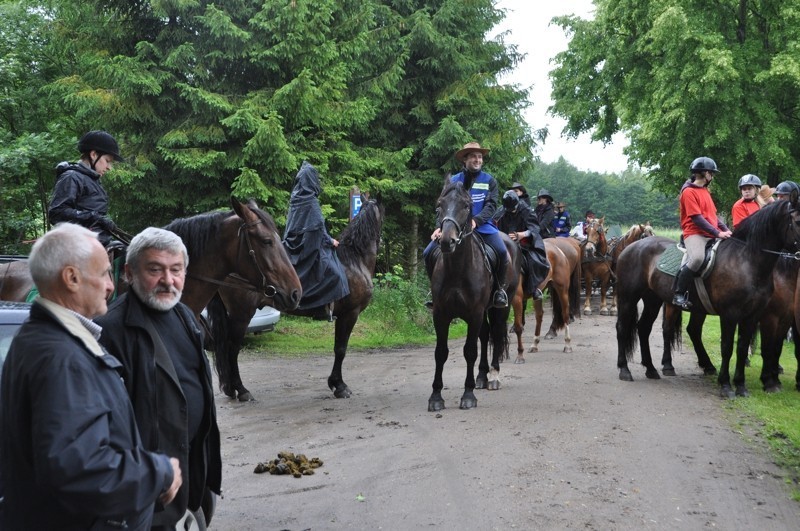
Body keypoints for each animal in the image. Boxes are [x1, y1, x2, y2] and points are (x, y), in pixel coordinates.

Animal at [208, 201, 386, 404]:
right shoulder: (350, 314)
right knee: (232, 349)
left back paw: (231, 388)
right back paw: (241, 389)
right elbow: (340, 349)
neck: (354, 261)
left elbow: (338, 348)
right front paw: (339, 385)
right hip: (241, 316)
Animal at [424, 182, 520, 412]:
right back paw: (482, 377)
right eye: (439, 204)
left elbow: (469, 351)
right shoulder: (440, 315)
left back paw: (493, 376)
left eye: (466, 206)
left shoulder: (474, 313)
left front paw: (468, 396)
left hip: (501, 307)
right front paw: (436, 397)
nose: (446, 240)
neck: (457, 269)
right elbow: (440, 352)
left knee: (496, 333)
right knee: (485, 335)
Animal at [616, 201, 800, 400]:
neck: (746, 261)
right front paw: (726, 386)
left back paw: (651, 369)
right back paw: (625, 370)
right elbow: (728, 347)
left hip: (653, 300)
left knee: (644, 328)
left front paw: (741, 386)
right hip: (628, 298)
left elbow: (742, 348)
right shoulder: (732, 315)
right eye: (798, 221)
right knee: (623, 328)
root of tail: (631, 246)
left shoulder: (752, 316)